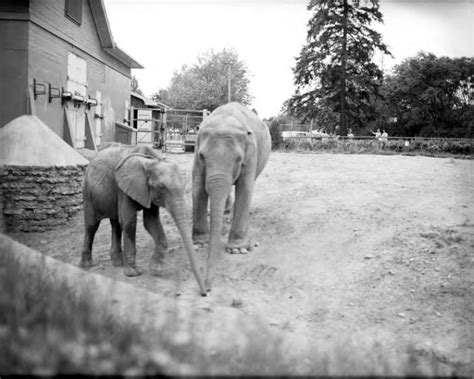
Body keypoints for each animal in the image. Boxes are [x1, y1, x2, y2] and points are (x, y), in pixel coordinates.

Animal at [80, 145, 206, 296]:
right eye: (161, 187)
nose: (205, 293)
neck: (151, 161)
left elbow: (151, 221)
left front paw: (156, 270)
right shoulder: (124, 187)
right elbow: (129, 222)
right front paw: (134, 274)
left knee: (116, 224)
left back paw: (118, 263)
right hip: (88, 191)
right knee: (92, 225)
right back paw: (88, 265)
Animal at [192, 102, 270, 292]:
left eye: (239, 159)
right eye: (202, 156)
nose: (207, 289)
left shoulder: (251, 154)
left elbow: (245, 189)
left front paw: (238, 250)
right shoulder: (196, 155)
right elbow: (198, 187)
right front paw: (200, 244)